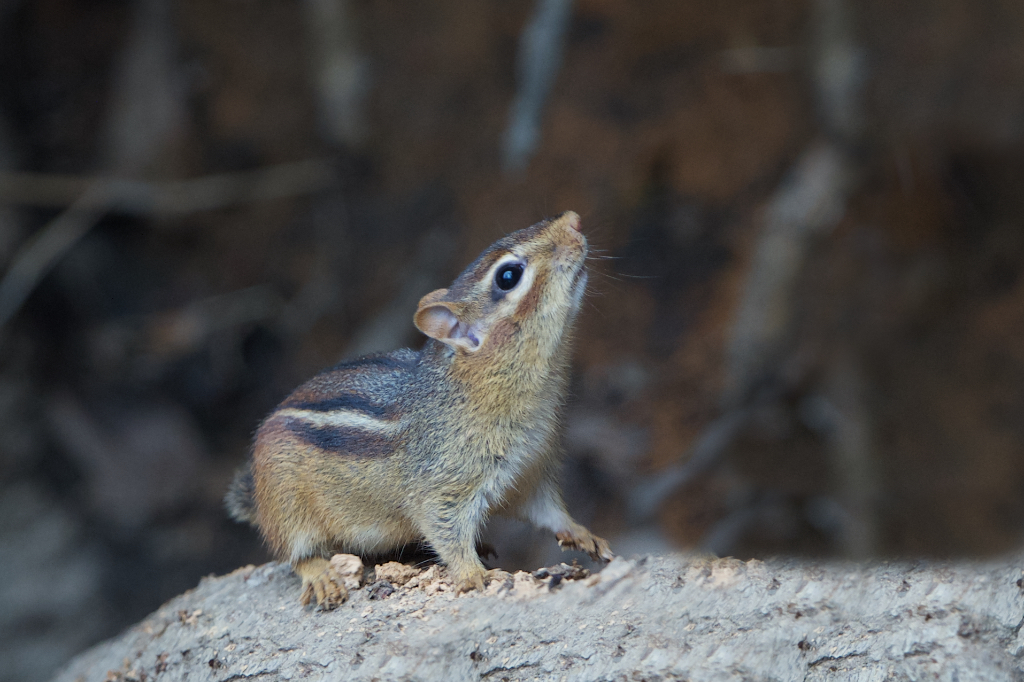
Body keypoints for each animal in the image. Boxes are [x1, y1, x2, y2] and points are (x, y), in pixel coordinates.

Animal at [225, 211, 613, 609]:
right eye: (508, 276)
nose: (574, 220)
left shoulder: (531, 472)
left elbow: (549, 512)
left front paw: (582, 533)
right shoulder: (443, 487)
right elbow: (444, 529)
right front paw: (473, 574)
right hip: (287, 505)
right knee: (296, 554)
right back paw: (322, 576)